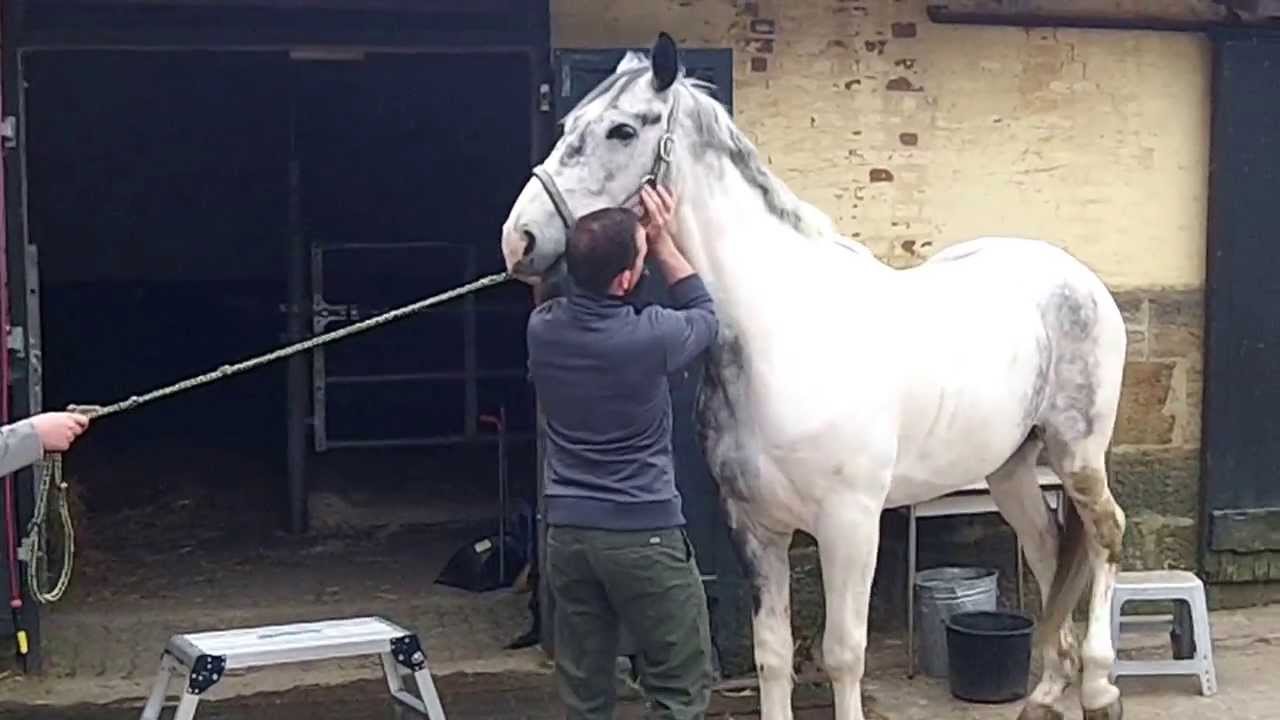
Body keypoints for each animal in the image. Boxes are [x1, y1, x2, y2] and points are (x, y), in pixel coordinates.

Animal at [499, 32, 1128, 720]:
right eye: (568, 126)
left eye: (621, 130)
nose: (518, 239)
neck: (779, 334)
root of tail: (1078, 277)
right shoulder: (755, 527)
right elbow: (772, 655)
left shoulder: (850, 524)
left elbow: (842, 654)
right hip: (1011, 470)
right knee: (1047, 550)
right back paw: (1046, 691)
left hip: (1076, 454)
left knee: (1105, 534)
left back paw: (1100, 684)